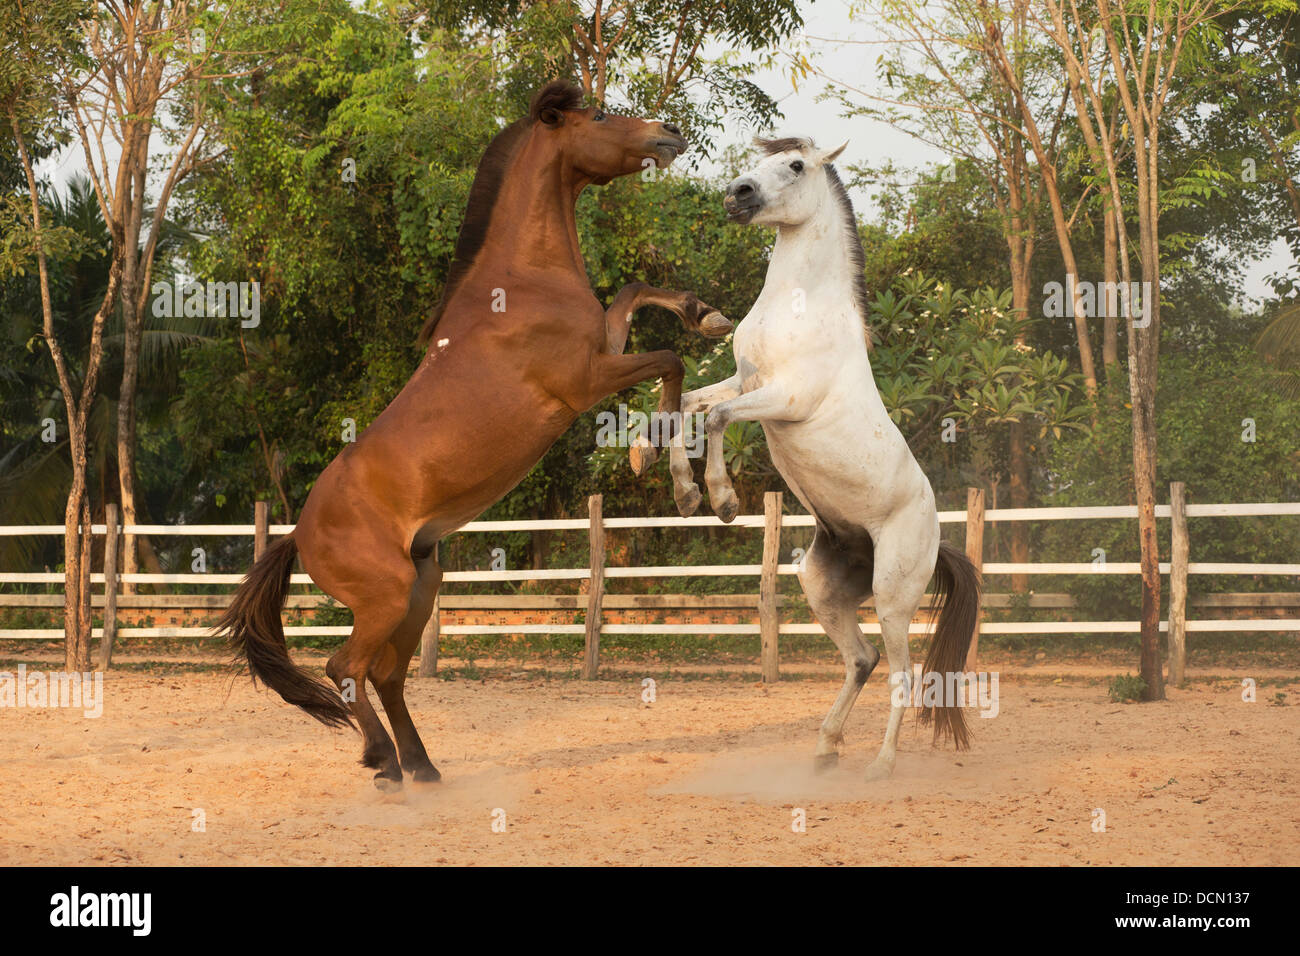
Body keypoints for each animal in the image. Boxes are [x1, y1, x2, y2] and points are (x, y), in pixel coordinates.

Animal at [218, 82, 738, 790]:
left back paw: (422, 766)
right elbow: (672, 364)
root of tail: (299, 532)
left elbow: (636, 294)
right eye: (600, 115)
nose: (669, 134)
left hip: (421, 588)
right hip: (384, 595)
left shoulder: (604, 346)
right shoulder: (586, 380)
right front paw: (667, 471)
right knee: (345, 669)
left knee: (386, 674)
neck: (521, 282)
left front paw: (706, 316)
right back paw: (384, 764)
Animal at [634, 136, 977, 780]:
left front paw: (720, 500)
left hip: (893, 595)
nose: (736, 194)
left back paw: (881, 765)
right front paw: (673, 482)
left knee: (902, 673)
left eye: (795, 165)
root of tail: (935, 535)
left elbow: (715, 418)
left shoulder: (782, 399)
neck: (798, 309)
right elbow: (686, 405)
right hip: (822, 588)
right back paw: (824, 748)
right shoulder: (745, 382)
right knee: (862, 660)